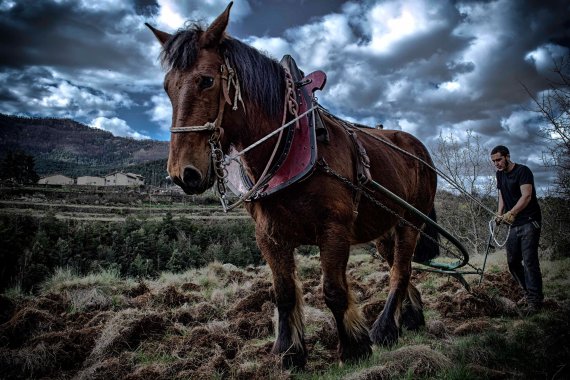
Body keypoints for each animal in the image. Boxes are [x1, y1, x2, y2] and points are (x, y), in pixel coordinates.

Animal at [148, 1, 440, 370]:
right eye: (167, 87)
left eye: (206, 80)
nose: (182, 174)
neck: (287, 143)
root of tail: (417, 148)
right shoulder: (269, 234)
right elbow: (284, 292)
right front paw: (289, 352)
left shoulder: (333, 228)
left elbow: (333, 290)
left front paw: (354, 347)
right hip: (385, 230)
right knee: (401, 269)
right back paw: (411, 318)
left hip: (411, 222)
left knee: (400, 271)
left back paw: (385, 328)